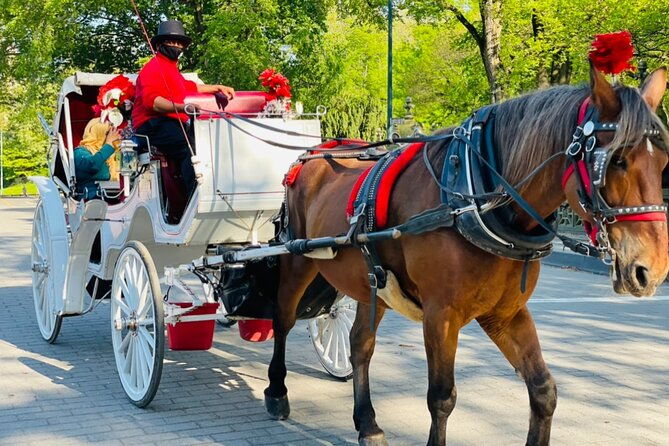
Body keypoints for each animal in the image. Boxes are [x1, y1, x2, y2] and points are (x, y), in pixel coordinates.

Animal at [264, 65, 669, 446]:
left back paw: (368, 423)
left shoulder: (505, 313)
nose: (651, 270)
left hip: (372, 283)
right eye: (616, 159)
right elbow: (442, 398)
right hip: (297, 261)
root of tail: (315, 153)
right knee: (283, 320)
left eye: (662, 162)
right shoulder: (441, 315)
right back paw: (277, 391)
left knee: (360, 344)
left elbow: (543, 389)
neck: (477, 199)